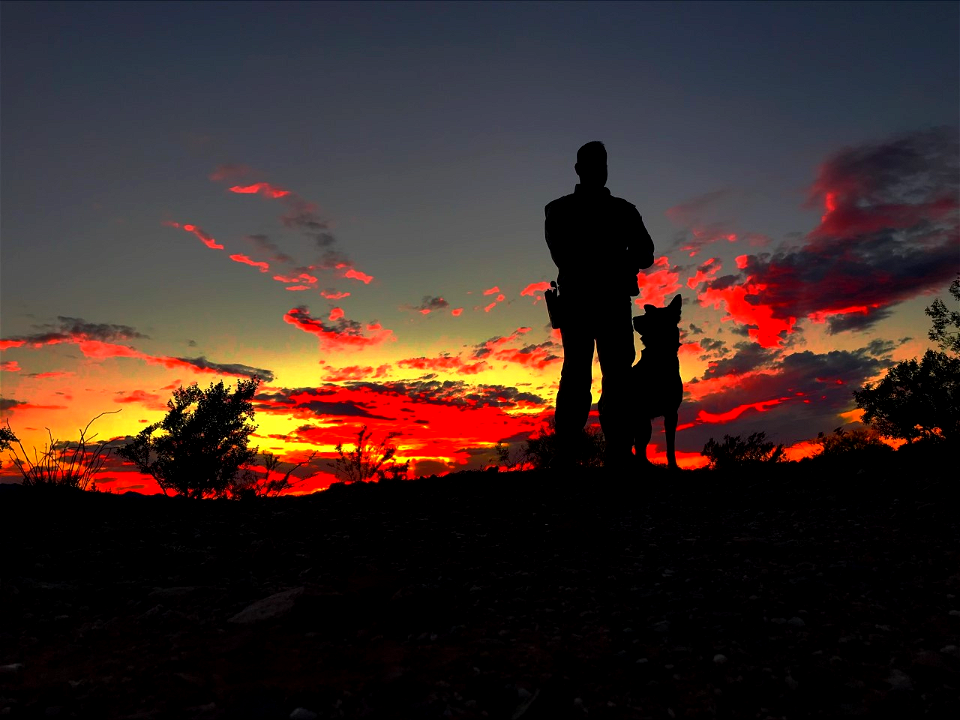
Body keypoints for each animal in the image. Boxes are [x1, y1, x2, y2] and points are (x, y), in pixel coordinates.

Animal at [632, 296, 684, 470]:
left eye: (652, 315)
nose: (633, 318)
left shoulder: (672, 413)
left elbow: (670, 445)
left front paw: (673, 467)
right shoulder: (642, 413)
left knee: (640, 447)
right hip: (642, 423)